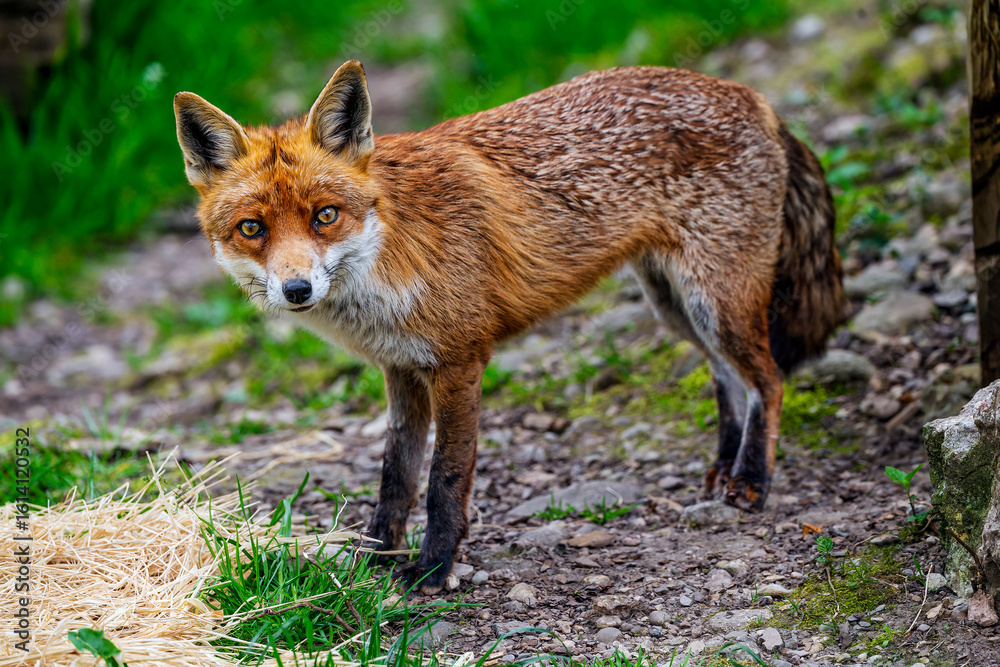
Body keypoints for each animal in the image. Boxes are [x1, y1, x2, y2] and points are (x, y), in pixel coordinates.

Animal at [174, 60, 845, 591]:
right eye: (253, 228)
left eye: (325, 216)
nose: (297, 290)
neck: (393, 253)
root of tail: (753, 95)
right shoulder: (401, 371)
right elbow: (396, 476)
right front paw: (377, 558)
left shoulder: (459, 362)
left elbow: (444, 479)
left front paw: (433, 569)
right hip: (677, 307)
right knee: (729, 378)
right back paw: (725, 466)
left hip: (718, 302)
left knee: (769, 379)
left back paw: (752, 481)